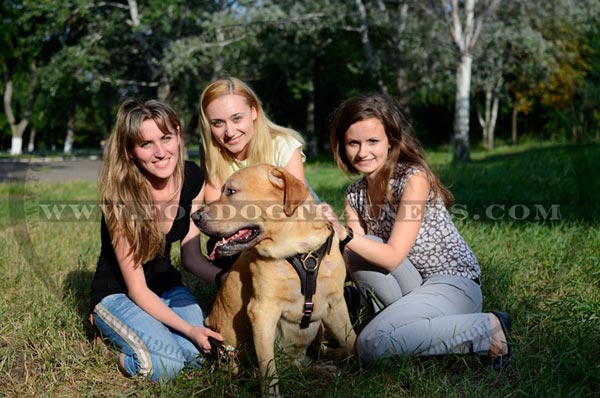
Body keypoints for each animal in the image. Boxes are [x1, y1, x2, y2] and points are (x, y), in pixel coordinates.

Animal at [192, 164, 354, 394]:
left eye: (231, 191)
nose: (194, 216)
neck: (300, 252)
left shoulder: (336, 304)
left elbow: (352, 340)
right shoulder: (262, 311)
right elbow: (268, 367)